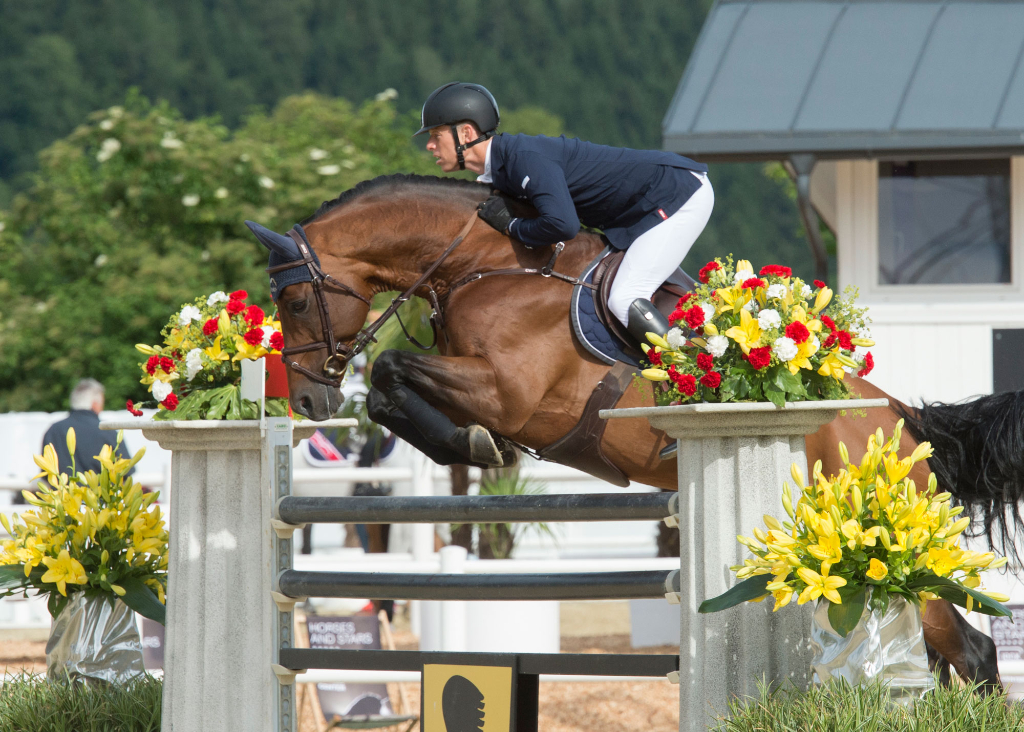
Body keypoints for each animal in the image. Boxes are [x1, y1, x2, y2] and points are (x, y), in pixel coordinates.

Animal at [245, 173, 1015, 692]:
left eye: (293, 298)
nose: (308, 398)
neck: (481, 265)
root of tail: (901, 420)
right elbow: (387, 391)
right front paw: (469, 445)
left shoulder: (508, 390)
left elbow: (391, 368)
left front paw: (472, 444)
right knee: (950, 653)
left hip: (885, 551)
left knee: (969, 651)